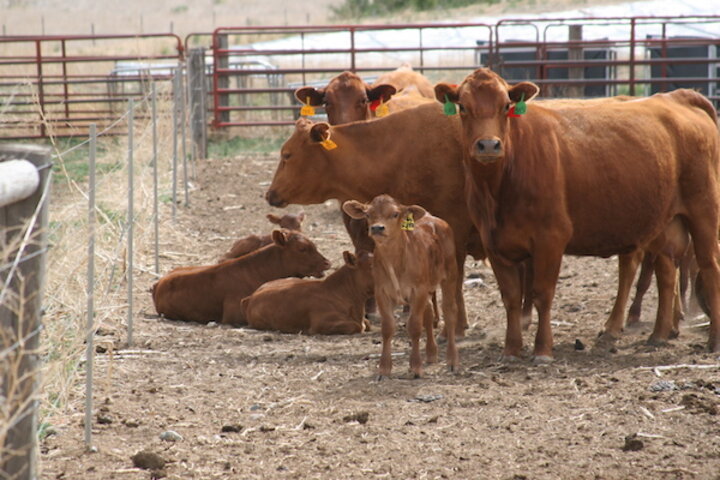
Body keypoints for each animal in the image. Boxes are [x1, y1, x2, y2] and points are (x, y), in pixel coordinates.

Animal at [344, 193, 462, 376]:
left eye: (395, 214)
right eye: (368, 214)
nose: (377, 228)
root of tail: (432, 218)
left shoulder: (418, 291)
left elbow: (414, 326)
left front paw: (415, 367)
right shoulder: (382, 292)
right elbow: (387, 328)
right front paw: (384, 368)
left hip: (450, 275)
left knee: (449, 312)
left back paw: (453, 361)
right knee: (428, 312)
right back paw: (431, 353)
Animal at [436, 68, 720, 360]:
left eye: (506, 106)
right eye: (463, 107)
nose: (489, 145)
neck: (499, 188)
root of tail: (677, 97)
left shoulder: (551, 239)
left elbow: (542, 294)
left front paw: (543, 349)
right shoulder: (495, 244)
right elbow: (511, 298)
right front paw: (511, 349)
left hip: (704, 211)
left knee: (709, 266)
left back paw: (713, 340)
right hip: (665, 223)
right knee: (666, 272)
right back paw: (659, 334)